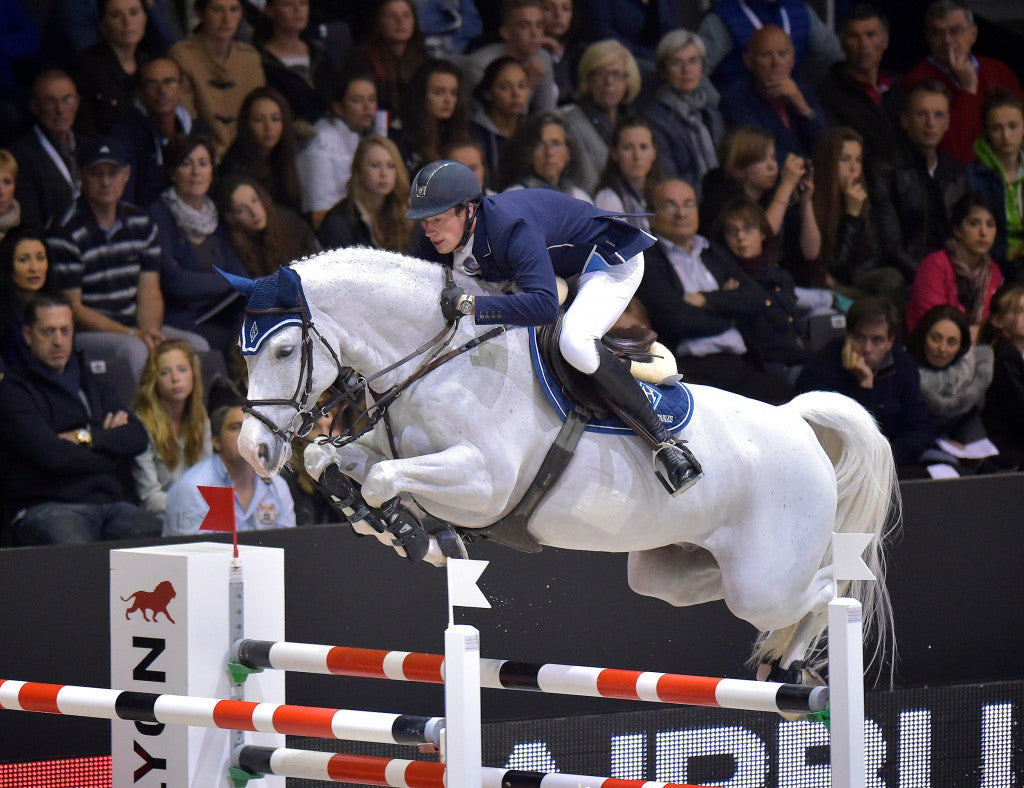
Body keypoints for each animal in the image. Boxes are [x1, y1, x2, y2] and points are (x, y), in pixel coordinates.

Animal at [232, 247, 897, 675]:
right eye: (244, 354)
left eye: (284, 351)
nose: (253, 451)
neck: (436, 360)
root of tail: (795, 421)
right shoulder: (389, 447)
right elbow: (333, 461)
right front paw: (405, 531)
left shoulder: (484, 483)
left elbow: (382, 478)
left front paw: (412, 531)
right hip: (677, 571)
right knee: (726, 586)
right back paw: (776, 658)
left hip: (766, 580)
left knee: (825, 588)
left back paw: (792, 662)